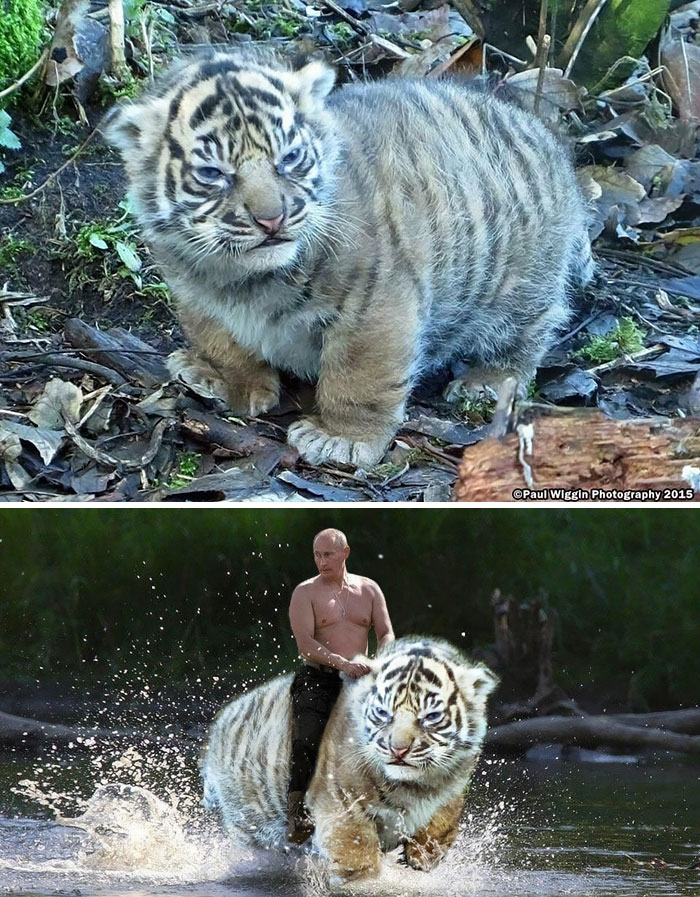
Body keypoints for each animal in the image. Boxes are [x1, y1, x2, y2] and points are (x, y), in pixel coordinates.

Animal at [104, 46, 593, 467]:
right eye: (212, 173)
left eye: (290, 158)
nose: (272, 219)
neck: (238, 278)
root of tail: (552, 146)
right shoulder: (196, 297)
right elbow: (223, 343)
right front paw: (224, 379)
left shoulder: (374, 306)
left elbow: (359, 375)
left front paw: (342, 439)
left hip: (520, 285)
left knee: (530, 332)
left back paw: (487, 381)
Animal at [200, 637, 499, 882]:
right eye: (383, 713)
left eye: (431, 716)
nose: (398, 750)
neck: (413, 786)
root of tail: (220, 723)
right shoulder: (339, 798)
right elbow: (358, 852)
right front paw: (356, 878)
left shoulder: (453, 784)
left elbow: (443, 822)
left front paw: (422, 855)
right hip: (249, 822)